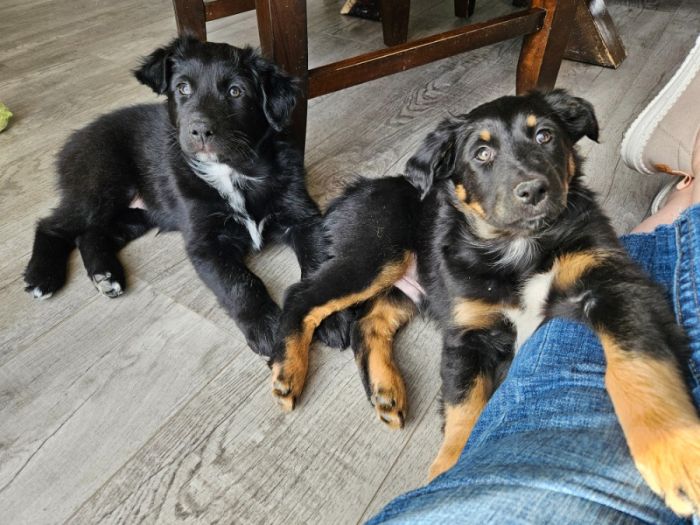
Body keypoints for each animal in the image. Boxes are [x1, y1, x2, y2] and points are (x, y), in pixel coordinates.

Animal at [23, 35, 348, 356]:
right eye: (182, 88)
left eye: (235, 91)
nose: (200, 131)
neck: (233, 171)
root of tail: (75, 139)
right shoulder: (205, 243)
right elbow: (240, 281)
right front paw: (266, 325)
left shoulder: (304, 218)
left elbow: (320, 263)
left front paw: (327, 317)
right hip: (101, 185)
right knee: (53, 225)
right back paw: (42, 277)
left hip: (137, 214)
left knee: (90, 234)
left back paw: (106, 276)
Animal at [270, 91, 700, 516]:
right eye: (481, 153)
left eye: (545, 136)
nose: (532, 191)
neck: (517, 247)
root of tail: (353, 191)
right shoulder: (467, 333)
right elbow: (464, 408)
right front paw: (448, 468)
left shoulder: (612, 283)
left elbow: (637, 360)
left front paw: (673, 449)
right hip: (374, 254)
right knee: (301, 297)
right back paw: (288, 372)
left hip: (410, 285)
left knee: (368, 323)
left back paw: (385, 390)